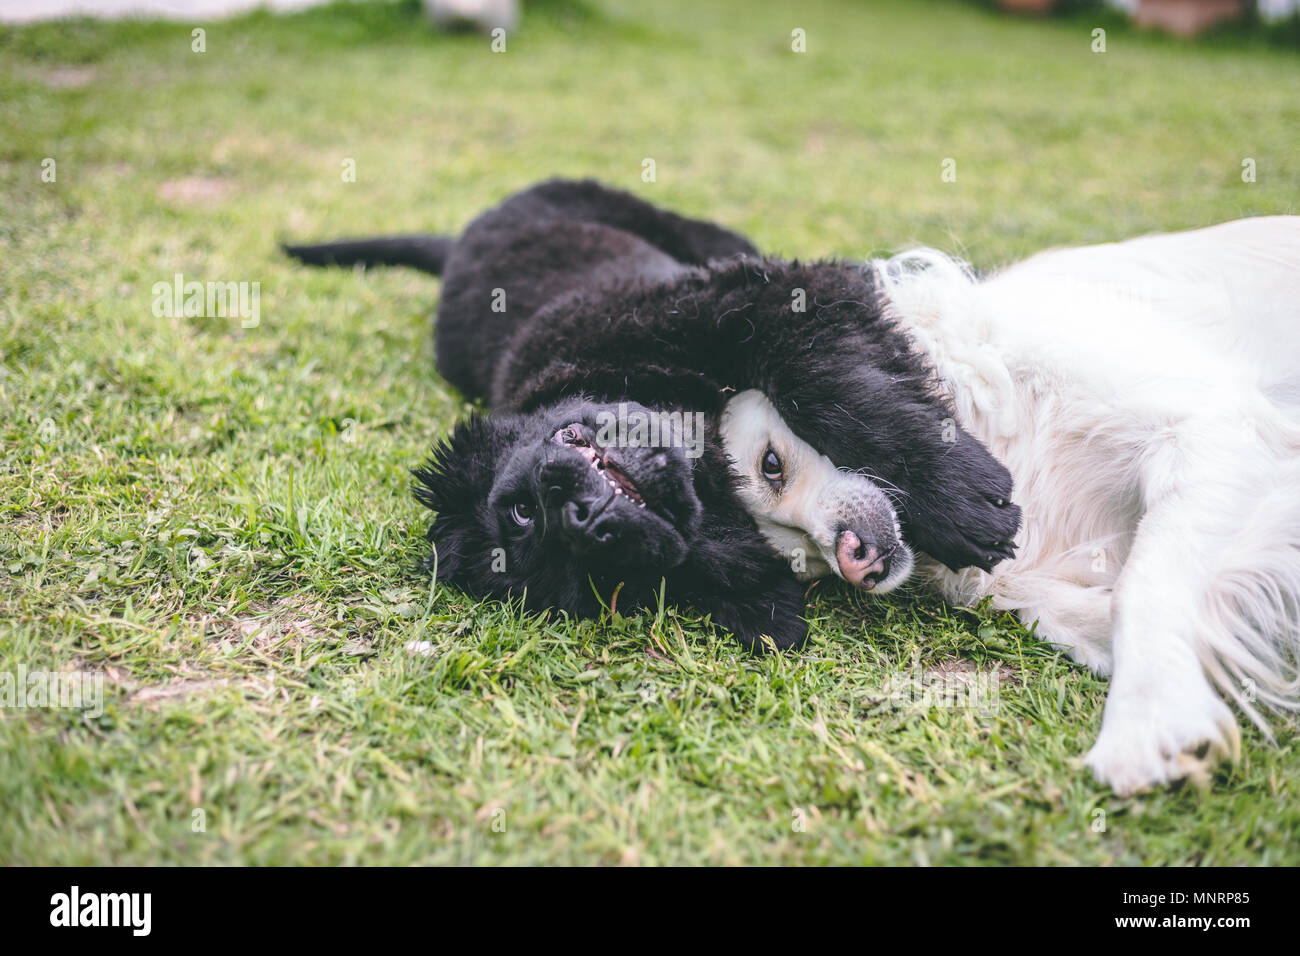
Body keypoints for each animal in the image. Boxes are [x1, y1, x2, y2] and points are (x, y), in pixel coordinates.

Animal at [282, 179, 1013, 650]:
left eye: (521, 511)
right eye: (597, 576)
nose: (578, 518)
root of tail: (462, 236)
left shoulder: (764, 296)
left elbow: (830, 385)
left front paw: (960, 501)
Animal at [722, 221, 1300, 796]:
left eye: (771, 465)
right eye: (801, 563)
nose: (852, 562)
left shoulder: (1211, 427)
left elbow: (1140, 585)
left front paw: (1148, 718)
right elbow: (1060, 608)